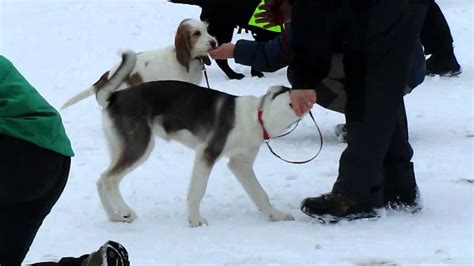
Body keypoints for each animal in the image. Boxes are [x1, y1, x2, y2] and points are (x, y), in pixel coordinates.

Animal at [97, 49, 304, 227]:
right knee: (109, 179)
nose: (304, 98)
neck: (256, 116)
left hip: (120, 147)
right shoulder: (207, 153)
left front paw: (275, 214)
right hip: (139, 145)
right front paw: (195, 220)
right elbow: (198, 191)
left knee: (101, 180)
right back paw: (125, 211)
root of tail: (114, 96)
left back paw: (114, 215)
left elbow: (260, 193)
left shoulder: (240, 163)